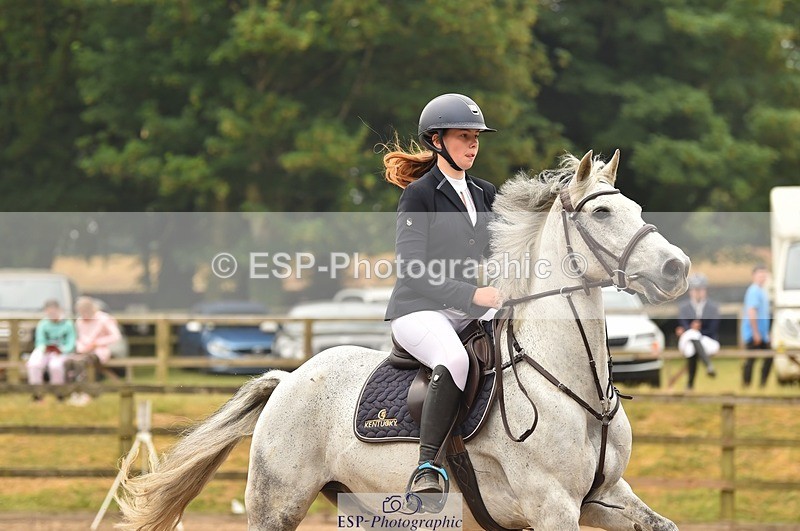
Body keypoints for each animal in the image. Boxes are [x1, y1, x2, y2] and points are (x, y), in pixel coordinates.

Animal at [117, 150, 689, 531]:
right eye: (601, 212)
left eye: (636, 208)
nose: (676, 268)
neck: (574, 386)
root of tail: (290, 380)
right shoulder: (552, 505)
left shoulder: (605, 496)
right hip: (276, 504)